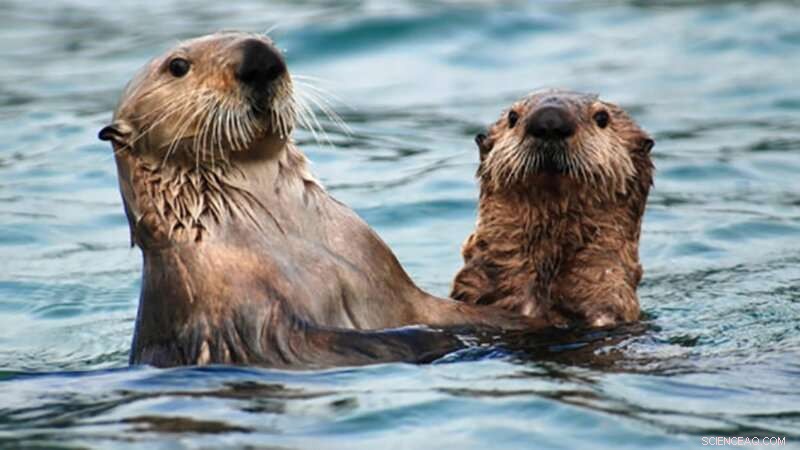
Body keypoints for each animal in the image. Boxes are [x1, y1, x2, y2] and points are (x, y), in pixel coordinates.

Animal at [99, 32, 542, 369]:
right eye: (177, 66)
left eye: (267, 40)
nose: (260, 58)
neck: (293, 243)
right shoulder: (252, 321)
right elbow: (322, 343)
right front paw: (443, 342)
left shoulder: (390, 280)